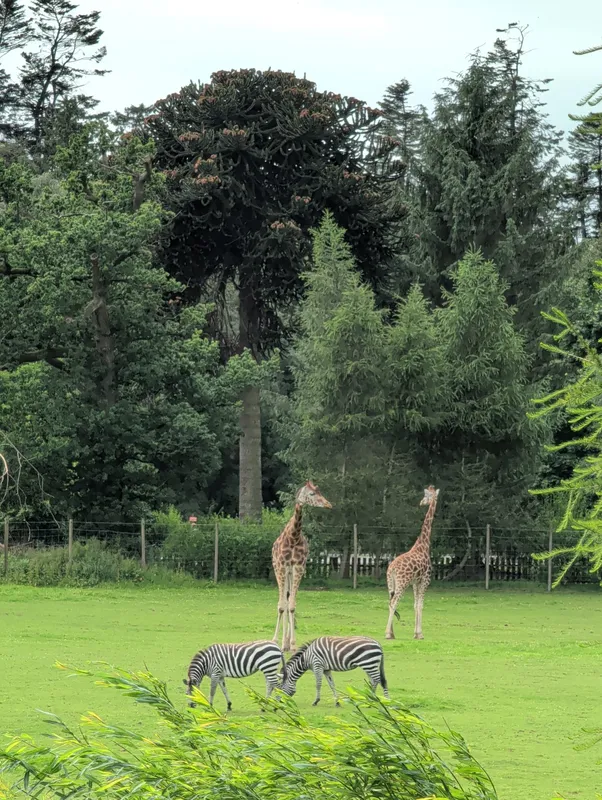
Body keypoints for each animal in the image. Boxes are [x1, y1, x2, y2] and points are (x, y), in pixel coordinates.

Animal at [272, 481, 332, 653]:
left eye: (320, 492)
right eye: (312, 494)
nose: (328, 504)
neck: (294, 536)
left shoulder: (299, 567)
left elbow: (291, 606)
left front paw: (292, 644)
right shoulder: (281, 566)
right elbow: (281, 606)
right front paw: (275, 641)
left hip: (291, 573)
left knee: (288, 600)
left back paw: (286, 643)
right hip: (281, 570)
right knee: (283, 601)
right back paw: (282, 643)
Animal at [385, 485, 440, 641]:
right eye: (426, 495)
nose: (421, 502)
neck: (423, 545)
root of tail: (391, 569)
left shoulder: (416, 582)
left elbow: (415, 605)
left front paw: (415, 633)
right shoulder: (425, 580)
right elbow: (420, 605)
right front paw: (420, 634)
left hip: (391, 583)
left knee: (390, 602)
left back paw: (392, 633)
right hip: (402, 582)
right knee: (394, 602)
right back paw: (388, 634)